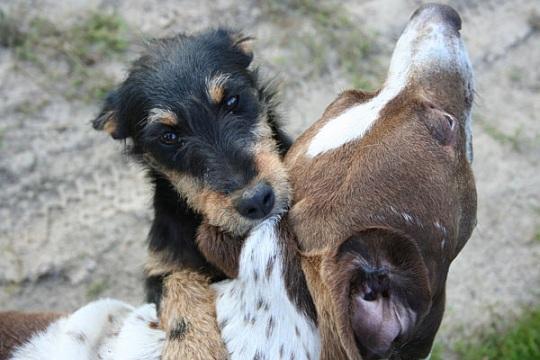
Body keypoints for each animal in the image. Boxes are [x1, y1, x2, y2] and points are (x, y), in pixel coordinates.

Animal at [93, 28, 292, 360]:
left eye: (233, 100)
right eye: (169, 136)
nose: (256, 201)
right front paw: (192, 347)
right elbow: (178, 283)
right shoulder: (161, 267)